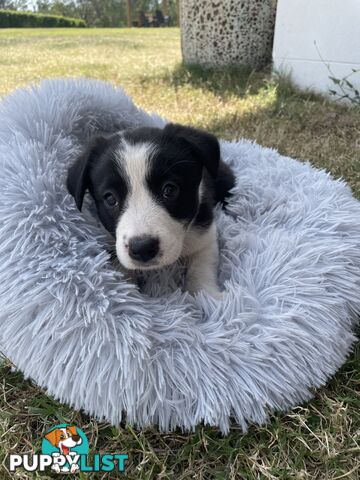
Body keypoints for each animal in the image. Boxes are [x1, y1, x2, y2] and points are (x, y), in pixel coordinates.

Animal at [67, 123, 236, 296]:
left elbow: (202, 267)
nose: (143, 248)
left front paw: (208, 296)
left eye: (170, 190)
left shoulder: (204, 233)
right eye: (110, 199)